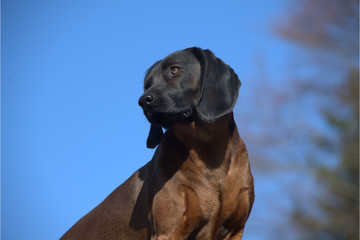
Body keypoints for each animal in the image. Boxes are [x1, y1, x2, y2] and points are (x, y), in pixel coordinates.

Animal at [60, 47, 255, 240]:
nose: (142, 100)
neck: (209, 152)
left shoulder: (235, 230)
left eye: (175, 69)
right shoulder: (168, 231)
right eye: (147, 84)